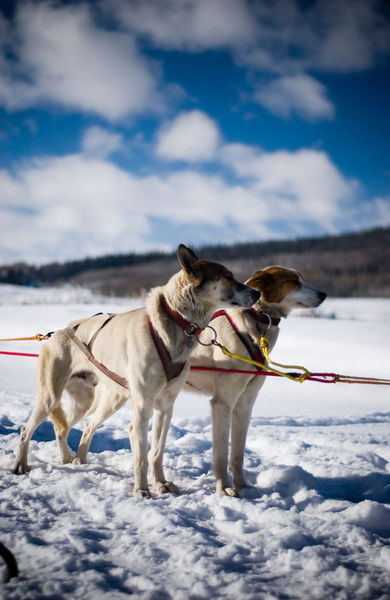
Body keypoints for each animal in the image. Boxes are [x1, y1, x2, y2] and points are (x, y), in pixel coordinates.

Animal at [11, 244, 258, 496]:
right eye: (228, 276)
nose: (256, 294)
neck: (174, 327)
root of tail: (60, 332)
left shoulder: (165, 406)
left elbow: (156, 452)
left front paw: (160, 483)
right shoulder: (142, 404)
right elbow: (141, 456)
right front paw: (142, 490)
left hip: (95, 402)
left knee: (70, 427)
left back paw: (71, 460)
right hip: (51, 398)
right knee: (26, 429)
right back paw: (21, 464)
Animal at [186, 266, 326, 496]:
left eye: (302, 278)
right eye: (294, 281)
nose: (324, 294)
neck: (252, 329)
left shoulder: (245, 404)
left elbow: (237, 454)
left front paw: (242, 486)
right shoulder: (222, 404)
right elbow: (221, 454)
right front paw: (224, 488)